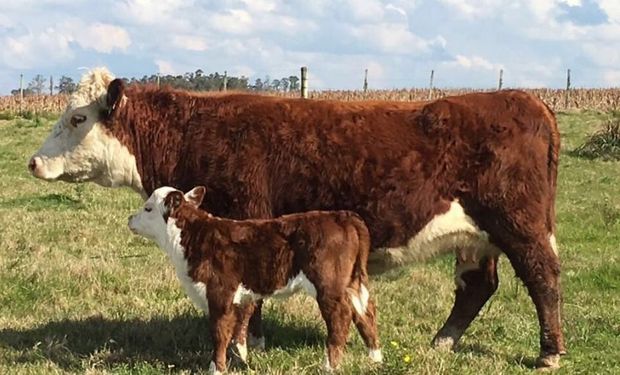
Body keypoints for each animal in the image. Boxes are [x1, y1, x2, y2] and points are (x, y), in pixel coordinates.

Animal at [128, 187, 382, 374]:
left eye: (148, 208)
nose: (130, 219)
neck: (194, 238)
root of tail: (341, 216)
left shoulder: (220, 293)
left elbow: (219, 332)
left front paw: (216, 368)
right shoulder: (238, 297)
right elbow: (238, 328)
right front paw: (241, 358)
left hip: (328, 284)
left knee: (341, 316)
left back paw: (329, 366)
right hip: (352, 282)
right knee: (365, 311)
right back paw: (375, 357)